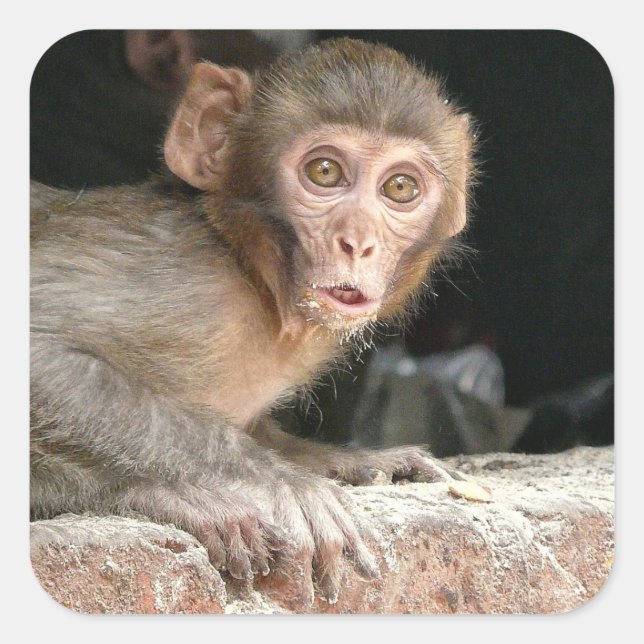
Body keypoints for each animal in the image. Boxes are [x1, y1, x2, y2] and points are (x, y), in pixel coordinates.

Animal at [30, 38, 475, 605]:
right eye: (324, 172)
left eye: (399, 188)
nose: (357, 242)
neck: (255, 278)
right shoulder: (183, 282)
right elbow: (37, 348)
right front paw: (278, 481)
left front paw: (354, 462)